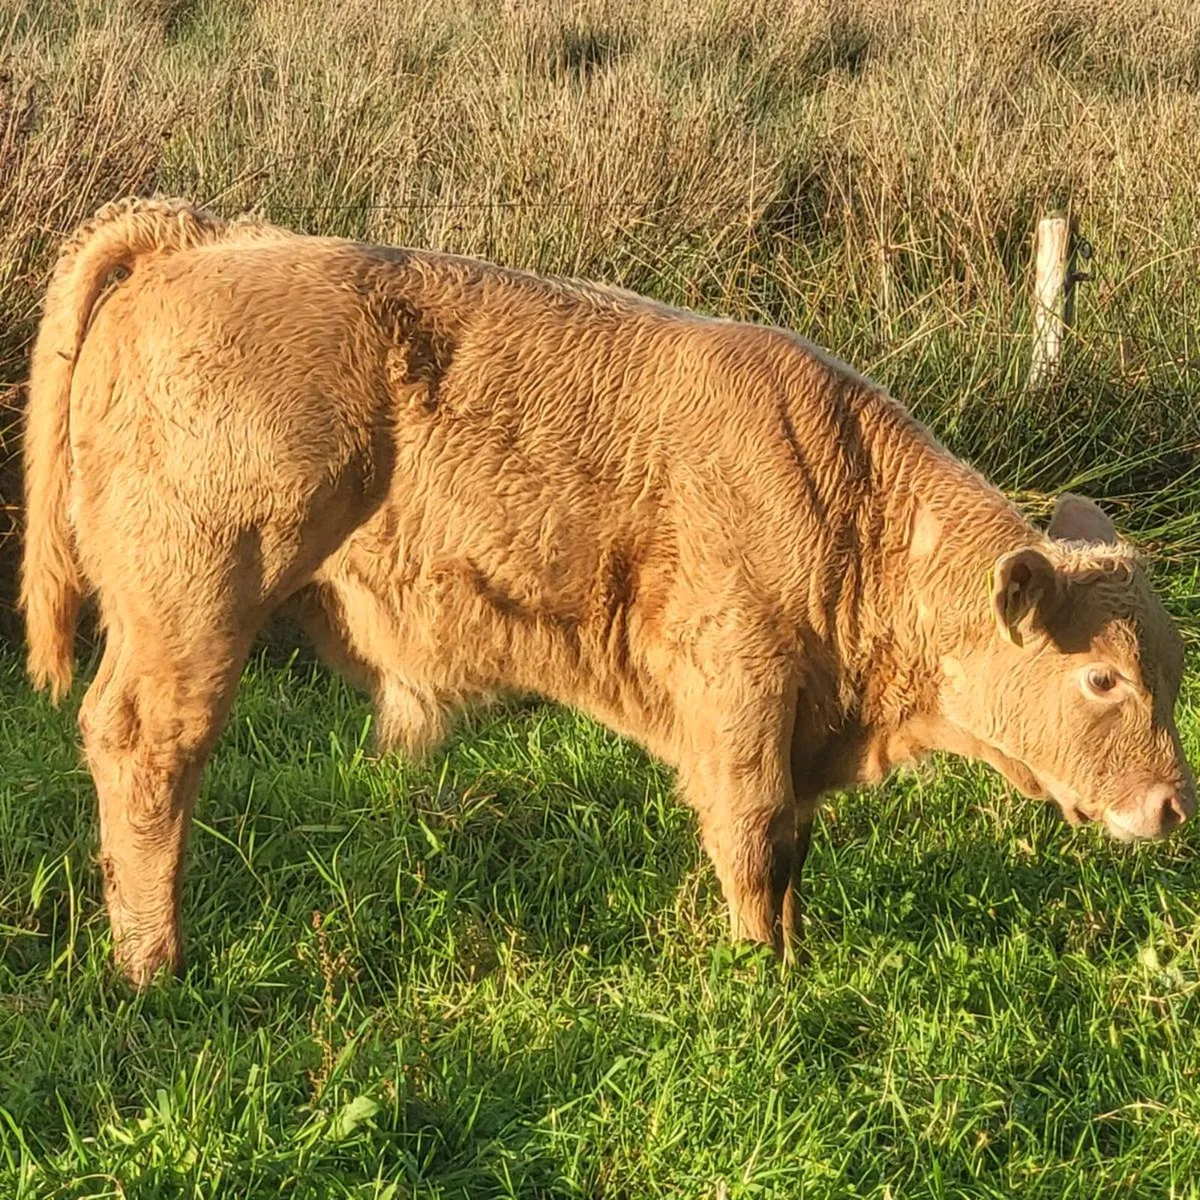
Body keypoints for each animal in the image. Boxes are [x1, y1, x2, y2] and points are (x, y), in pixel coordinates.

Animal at [20, 197, 1195, 987]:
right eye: (1101, 680)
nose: (1173, 805)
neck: (850, 504)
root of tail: (203, 238)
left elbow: (790, 852)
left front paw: (794, 954)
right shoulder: (741, 699)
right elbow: (752, 844)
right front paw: (762, 977)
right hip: (195, 603)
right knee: (148, 750)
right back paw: (154, 965)